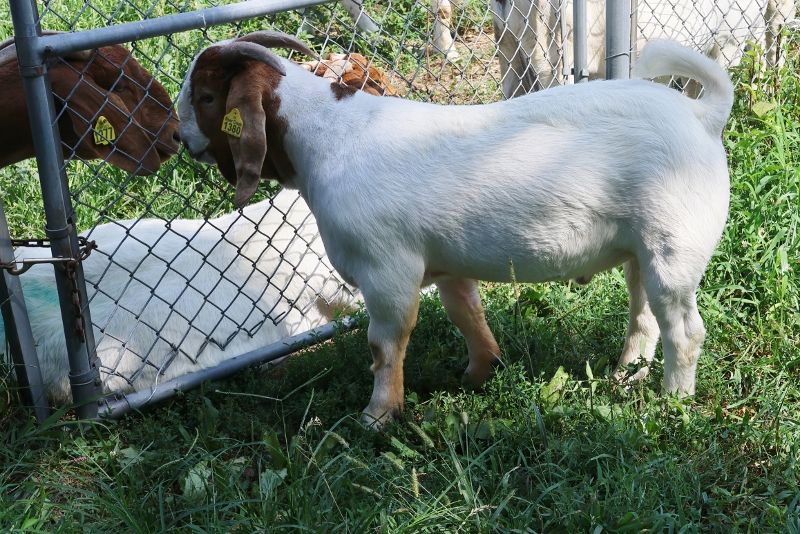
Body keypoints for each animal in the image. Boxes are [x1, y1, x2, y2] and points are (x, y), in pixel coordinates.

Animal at [178, 31, 734, 428]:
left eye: (205, 97)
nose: (183, 141)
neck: (327, 135)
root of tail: (703, 116)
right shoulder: (444, 263)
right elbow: (466, 313)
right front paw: (479, 373)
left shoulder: (387, 271)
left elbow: (385, 345)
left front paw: (376, 417)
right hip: (642, 249)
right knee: (644, 314)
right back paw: (626, 375)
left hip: (674, 248)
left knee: (684, 330)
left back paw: (672, 403)